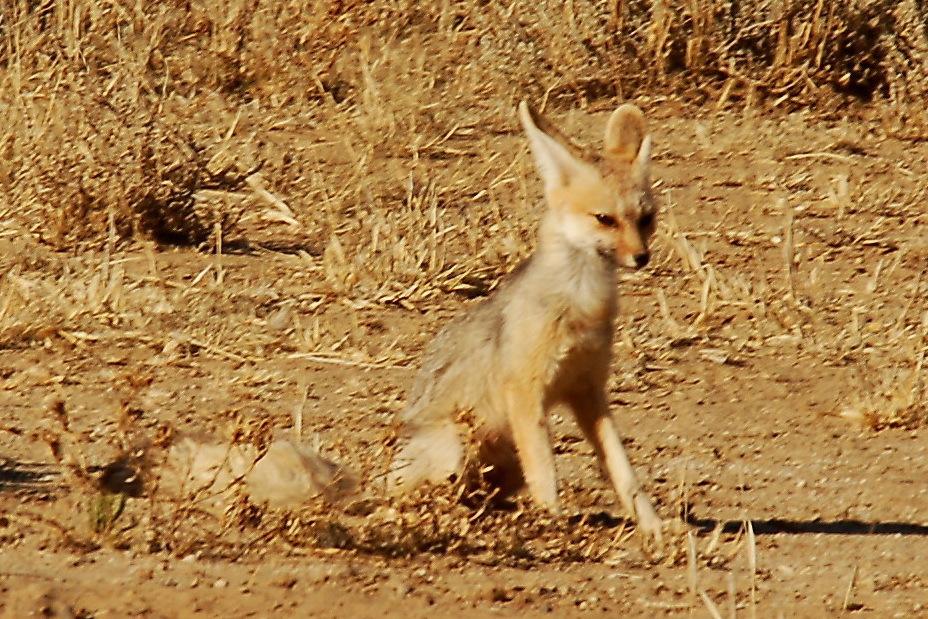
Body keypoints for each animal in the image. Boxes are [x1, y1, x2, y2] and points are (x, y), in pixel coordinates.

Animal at [387, 100, 663, 541]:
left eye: (646, 219)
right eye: (605, 219)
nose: (642, 257)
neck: (580, 300)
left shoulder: (589, 390)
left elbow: (622, 469)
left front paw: (654, 525)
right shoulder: (525, 390)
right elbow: (545, 471)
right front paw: (553, 523)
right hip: (457, 444)